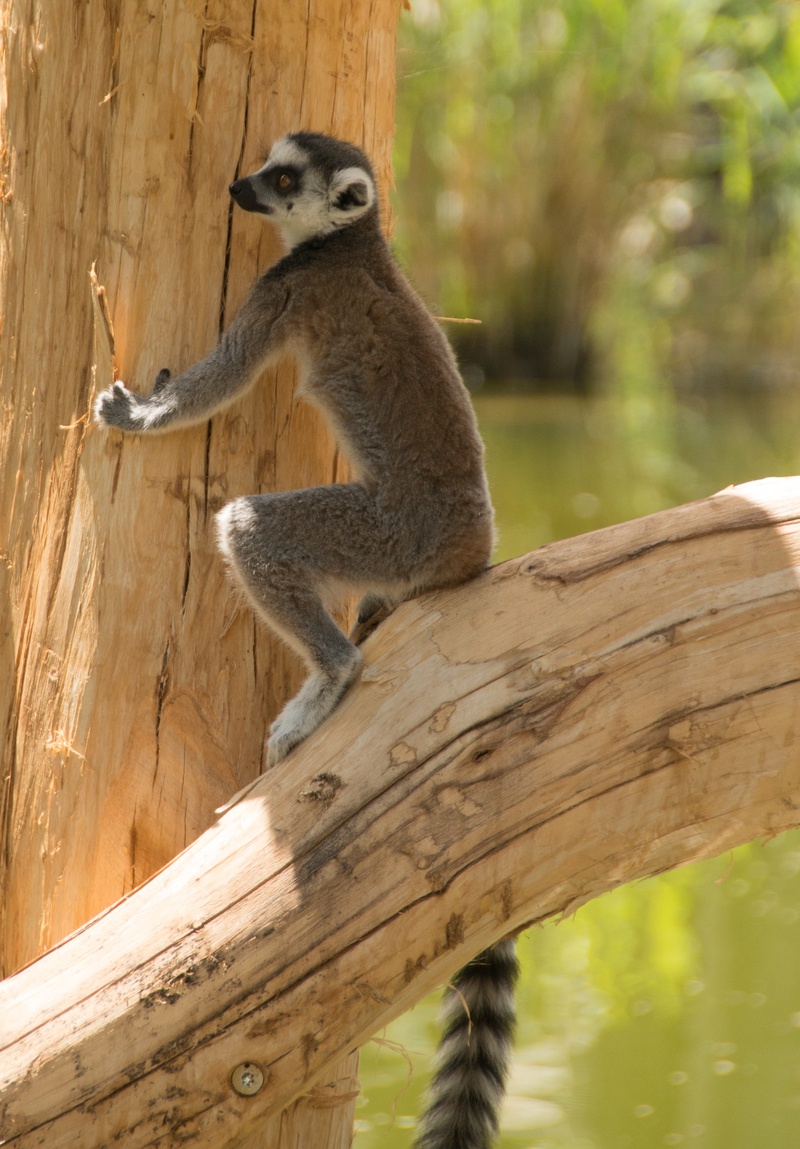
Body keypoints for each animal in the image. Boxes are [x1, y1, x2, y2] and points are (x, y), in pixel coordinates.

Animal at [94, 131, 517, 1149]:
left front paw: (144, 413)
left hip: (379, 532)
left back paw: (331, 677)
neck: (350, 241)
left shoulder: (285, 292)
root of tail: (471, 549)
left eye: (284, 179)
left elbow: (219, 381)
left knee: (254, 528)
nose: (237, 188)